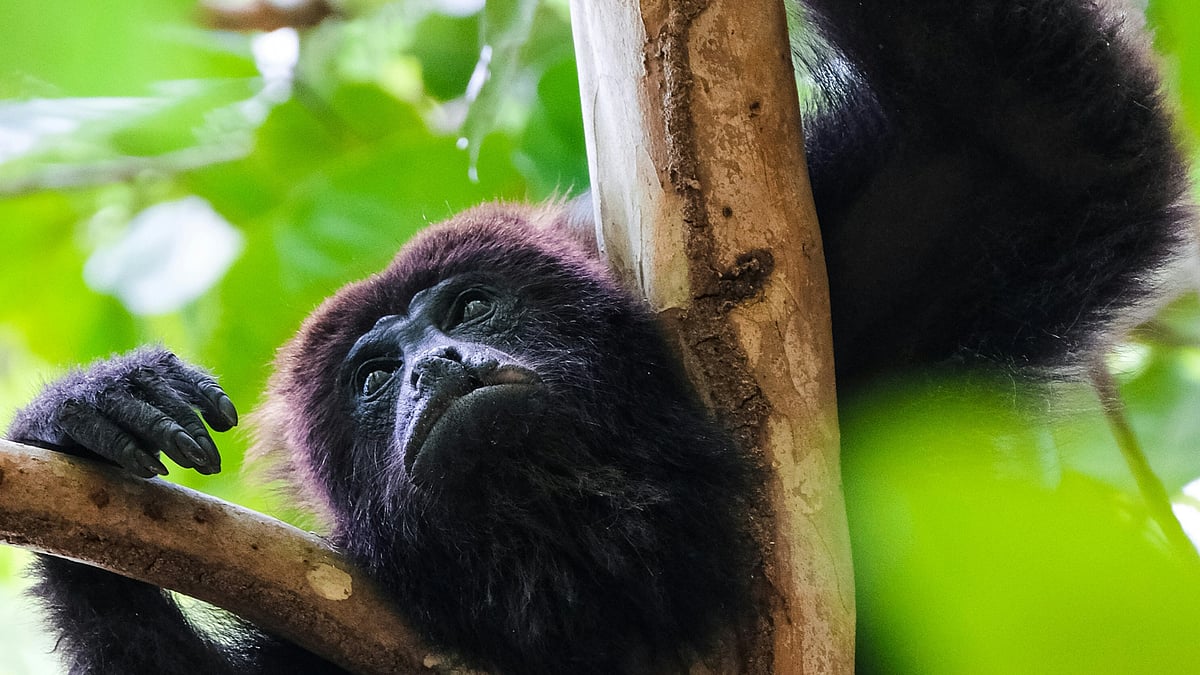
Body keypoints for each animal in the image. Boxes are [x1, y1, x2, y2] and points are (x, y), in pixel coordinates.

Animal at [5, 0, 1193, 673]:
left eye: (469, 310)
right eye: (375, 376)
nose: (436, 369)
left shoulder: (883, 306)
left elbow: (1044, 143)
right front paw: (87, 418)